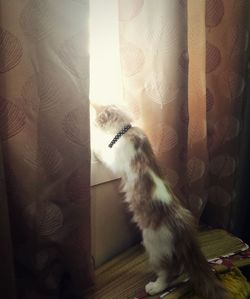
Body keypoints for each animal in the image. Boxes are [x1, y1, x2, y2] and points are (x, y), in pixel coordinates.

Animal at [91, 103, 229, 299]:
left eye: (96, 120)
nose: (93, 124)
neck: (127, 131)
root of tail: (183, 227)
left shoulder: (116, 160)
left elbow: (105, 154)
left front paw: (94, 148)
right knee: (179, 270)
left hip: (154, 245)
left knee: (167, 272)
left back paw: (155, 287)